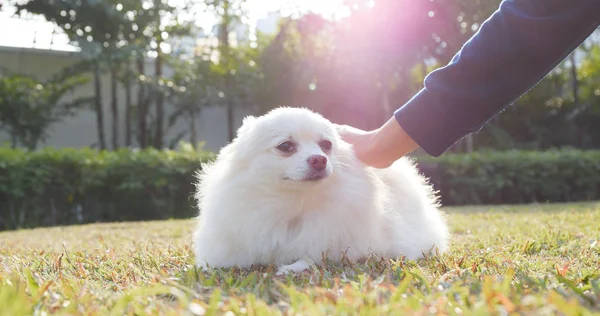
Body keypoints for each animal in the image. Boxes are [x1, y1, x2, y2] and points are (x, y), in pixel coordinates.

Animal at [193, 106, 450, 274]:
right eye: (285, 146)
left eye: (326, 145)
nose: (319, 159)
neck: (296, 202)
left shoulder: (341, 246)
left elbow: (314, 256)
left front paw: (291, 268)